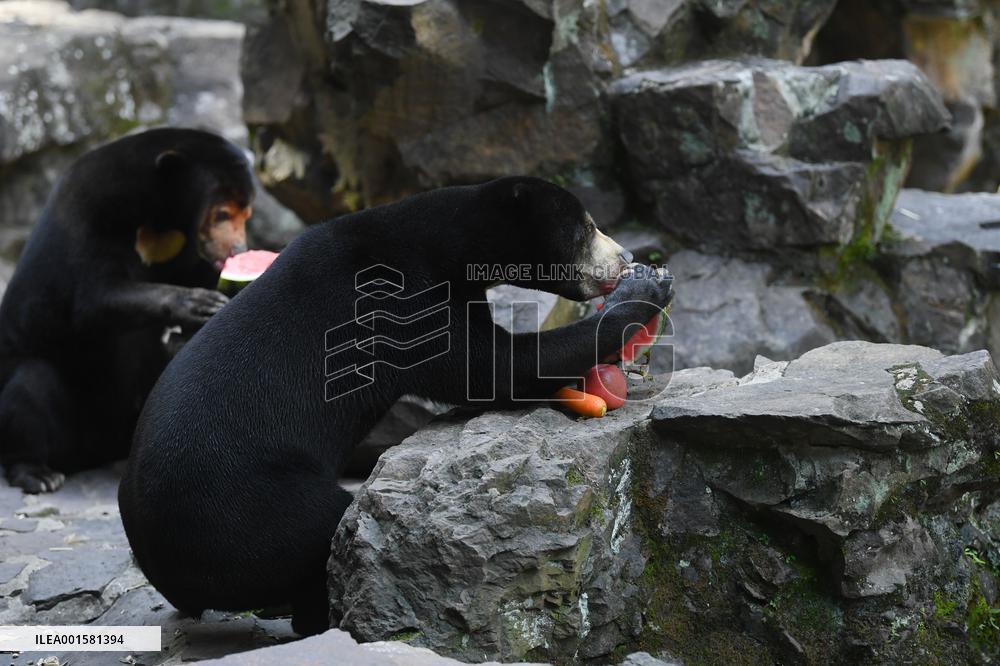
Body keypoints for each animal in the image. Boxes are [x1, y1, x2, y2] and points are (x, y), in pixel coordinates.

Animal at [0, 128, 255, 493]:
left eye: (246, 214)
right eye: (221, 213)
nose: (238, 250)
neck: (161, 217)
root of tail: (102, 447)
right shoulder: (93, 214)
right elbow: (94, 299)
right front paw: (198, 304)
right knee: (29, 386)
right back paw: (38, 473)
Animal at [118, 176, 674, 635]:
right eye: (588, 227)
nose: (625, 254)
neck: (445, 244)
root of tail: (160, 563)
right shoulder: (399, 302)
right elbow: (491, 368)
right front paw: (645, 288)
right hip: (247, 505)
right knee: (319, 528)